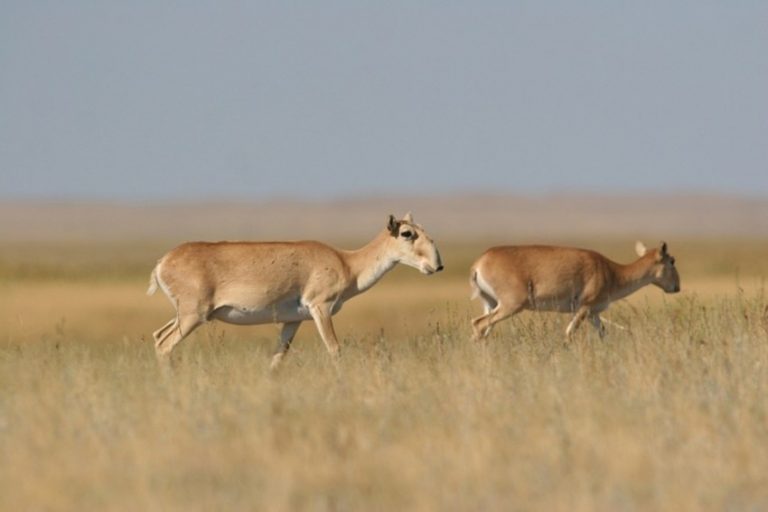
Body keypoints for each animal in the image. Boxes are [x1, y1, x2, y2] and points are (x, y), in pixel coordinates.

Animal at [148, 212, 444, 368]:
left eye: (422, 228)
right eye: (407, 233)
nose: (437, 265)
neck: (347, 262)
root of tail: (162, 262)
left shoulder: (293, 321)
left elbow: (277, 358)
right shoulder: (321, 308)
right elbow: (334, 348)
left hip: (186, 315)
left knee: (157, 335)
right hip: (193, 316)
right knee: (164, 344)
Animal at [472, 241, 680, 344]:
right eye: (672, 261)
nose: (677, 287)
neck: (610, 270)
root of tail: (480, 262)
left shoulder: (593, 314)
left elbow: (603, 334)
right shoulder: (583, 308)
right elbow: (569, 334)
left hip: (491, 304)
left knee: (482, 328)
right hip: (510, 305)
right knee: (479, 324)